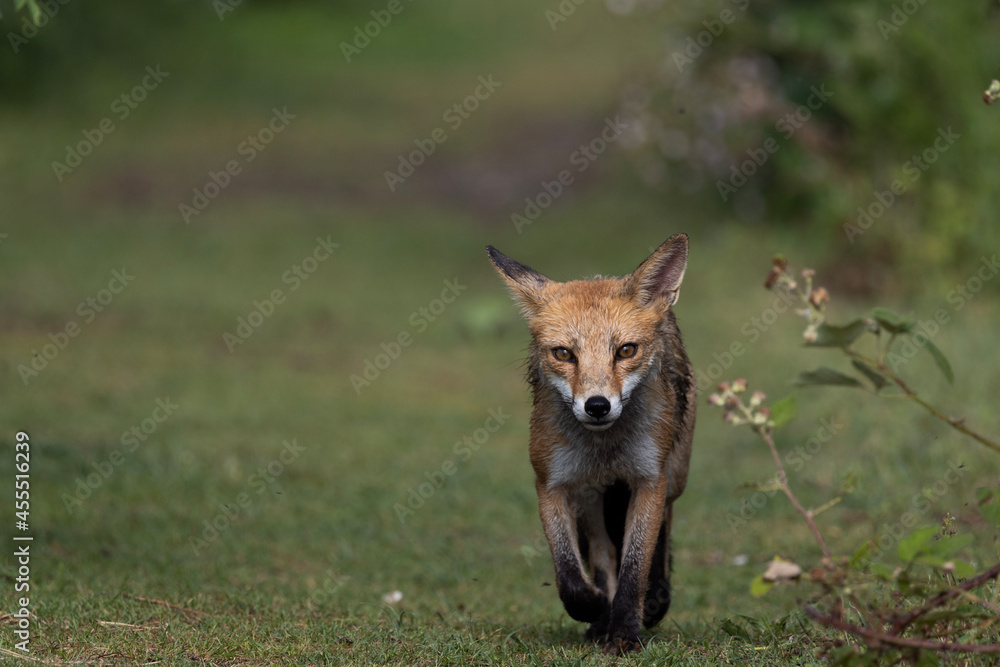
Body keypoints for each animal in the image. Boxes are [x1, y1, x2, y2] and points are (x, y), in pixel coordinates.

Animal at [486, 234, 695, 654]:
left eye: (626, 350)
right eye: (564, 353)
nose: (597, 405)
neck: (605, 450)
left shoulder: (649, 478)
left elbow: (635, 565)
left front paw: (626, 631)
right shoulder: (554, 483)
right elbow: (570, 572)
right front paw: (596, 609)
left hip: (674, 476)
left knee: (662, 534)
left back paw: (656, 598)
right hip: (591, 497)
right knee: (601, 552)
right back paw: (601, 618)